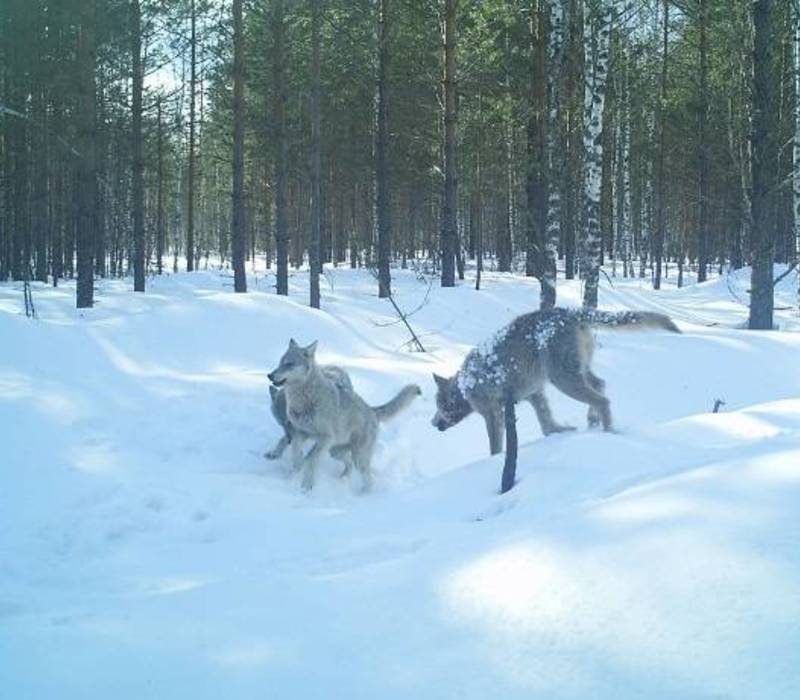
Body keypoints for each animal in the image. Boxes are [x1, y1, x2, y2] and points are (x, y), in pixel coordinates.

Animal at [268, 340, 422, 492]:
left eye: (289, 364)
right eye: (280, 362)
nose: (269, 375)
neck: (305, 399)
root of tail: (372, 410)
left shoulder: (325, 437)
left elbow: (311, 459)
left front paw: (306, 488)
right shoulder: (300, 433)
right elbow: (296, 453)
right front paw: (292, 472)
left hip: (357, 457)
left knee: (368, 480)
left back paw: (362, 495)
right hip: (335, 451)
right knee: (349, 464)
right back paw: (342, 479)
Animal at [432, 308, 680, 456]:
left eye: (439, 405)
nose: (433, 424)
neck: (465, 384)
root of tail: (570, 311)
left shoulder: (493, 414)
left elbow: (495, 448)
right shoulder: (534, 395)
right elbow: (547, 426)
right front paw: (562, 431)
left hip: (564, 380)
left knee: (603, 400)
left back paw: (609, 432)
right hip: (576, 373)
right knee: (601, 386)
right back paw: (592, 422)